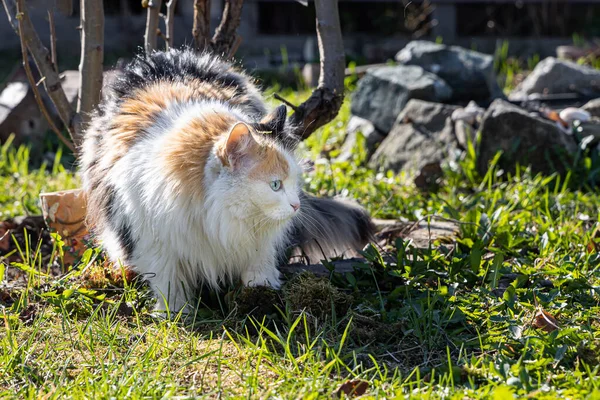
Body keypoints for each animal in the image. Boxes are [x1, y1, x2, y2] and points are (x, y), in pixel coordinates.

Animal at [78, 48, 372, 312]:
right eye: (275, 185)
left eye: (292, 183)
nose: (296, 206)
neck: (217, 220)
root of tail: (165, 55)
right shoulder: (155, 242)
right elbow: (169, 282)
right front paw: (176, 315)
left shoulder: (259, 244)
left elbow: (259, 267)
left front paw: (260, 295)